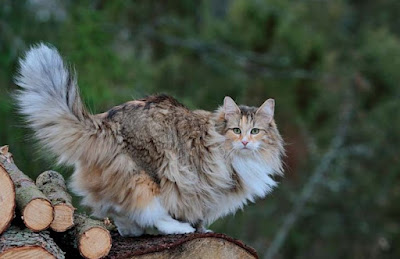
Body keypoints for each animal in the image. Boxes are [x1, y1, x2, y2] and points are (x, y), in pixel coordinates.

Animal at [14, 43, 284, 237]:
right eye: (236, 130)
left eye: (255, 131)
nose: (246, 142)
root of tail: (106, 121)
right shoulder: (206, 188)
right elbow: (198, 214)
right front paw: (198, 229)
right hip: (148, 174)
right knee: (147, 209)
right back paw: (175, 228)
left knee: (116, 207)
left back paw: (131, 231)